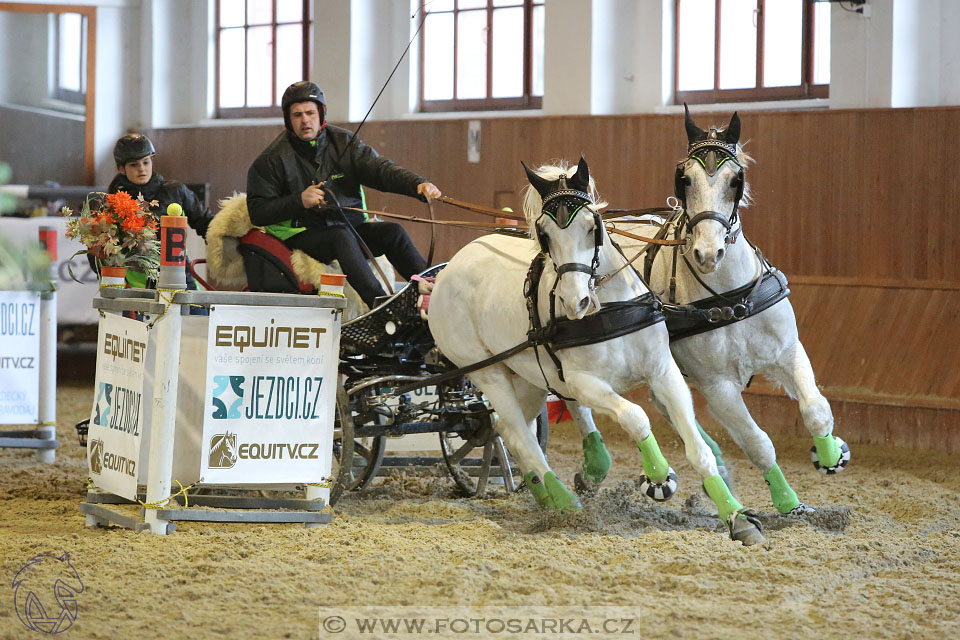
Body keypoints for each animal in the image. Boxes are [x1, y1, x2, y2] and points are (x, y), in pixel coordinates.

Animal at [428, 158, 764, 544]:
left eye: (593, 227)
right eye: (544, 234)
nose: (576, 301)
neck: (610, 310)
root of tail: (449, 267)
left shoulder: (664, 372)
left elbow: (698, 448)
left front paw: (737, 516)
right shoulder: (582, 383)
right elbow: (636, 416)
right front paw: (658, 475)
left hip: (528, 376)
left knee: (508, 428)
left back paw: (544, 495)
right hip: (486, 371)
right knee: (517, 431)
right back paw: (563, 501)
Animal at [612, 106, 852, 516]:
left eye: (735, 180)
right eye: (684, 179)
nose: (708, 254)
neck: (729, 300)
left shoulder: (788, 352)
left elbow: (816, 409)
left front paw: (831, 454)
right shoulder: (718, 387)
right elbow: (758, 444)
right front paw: (788, 502)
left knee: (664, 404)